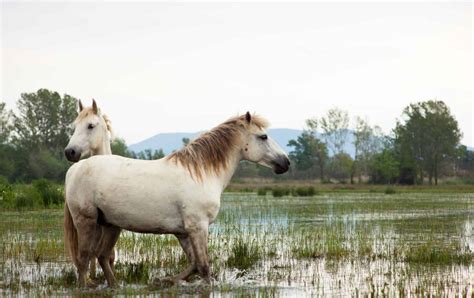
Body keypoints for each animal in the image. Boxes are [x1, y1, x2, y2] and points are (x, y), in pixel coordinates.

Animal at [63, 111, 288, 286]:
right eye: (263, 136)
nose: (285, 162)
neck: (201, 173)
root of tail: (75, 168)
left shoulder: (183, 233)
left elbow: (195, 264)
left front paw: (166, 280)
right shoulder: (198, 227)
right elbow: (204, 267)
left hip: (111, 225)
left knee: (101, 256)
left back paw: (116, 287)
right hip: (86, 221)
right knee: (84, 259)